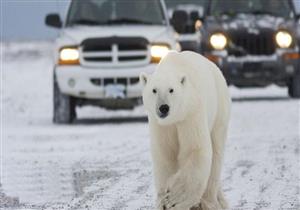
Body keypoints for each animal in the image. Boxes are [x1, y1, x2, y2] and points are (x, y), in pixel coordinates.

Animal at [139, 51, 231, 210]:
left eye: (171, 90)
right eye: (154, 90)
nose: (164, 108)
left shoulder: (191, 113)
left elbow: (195, 150)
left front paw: (173, 199)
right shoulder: (161, 126)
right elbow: (165, 154)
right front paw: (163, 200)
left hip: (219, 109)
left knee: (216, 153)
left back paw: (210, 202)